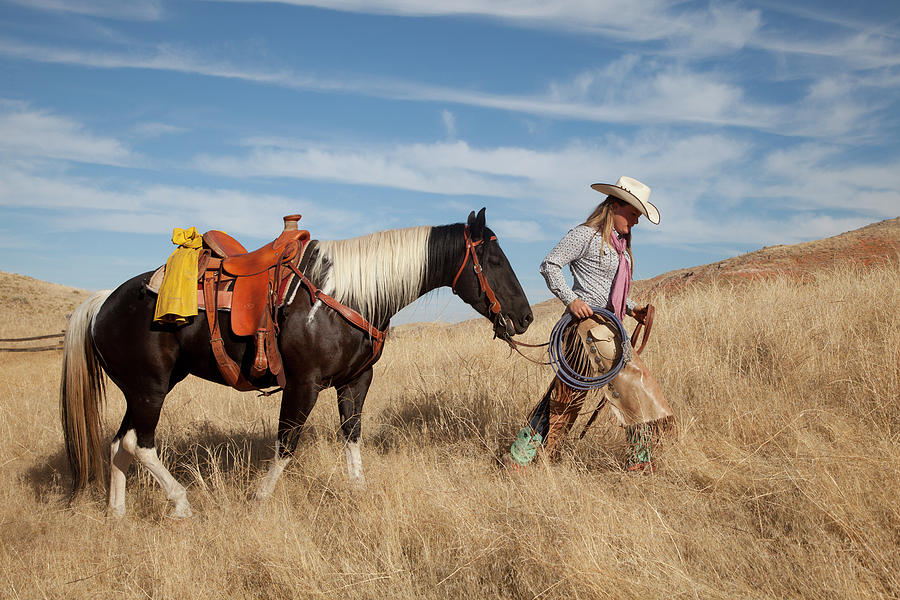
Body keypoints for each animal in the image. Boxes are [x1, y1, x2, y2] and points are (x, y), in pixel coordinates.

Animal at [58, 210, 536, 516]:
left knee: (118, 444)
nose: (526, 317)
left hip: (142, 390)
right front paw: (259, 499)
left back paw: (117, 513)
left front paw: (357, 491)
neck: (346, 293)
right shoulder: (303, 384)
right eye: (494, 259)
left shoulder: (356, 381)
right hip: (150, 388)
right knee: (138, 443)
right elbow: (287, 443)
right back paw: (181, 503)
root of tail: (102, 302)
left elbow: (352, 436)